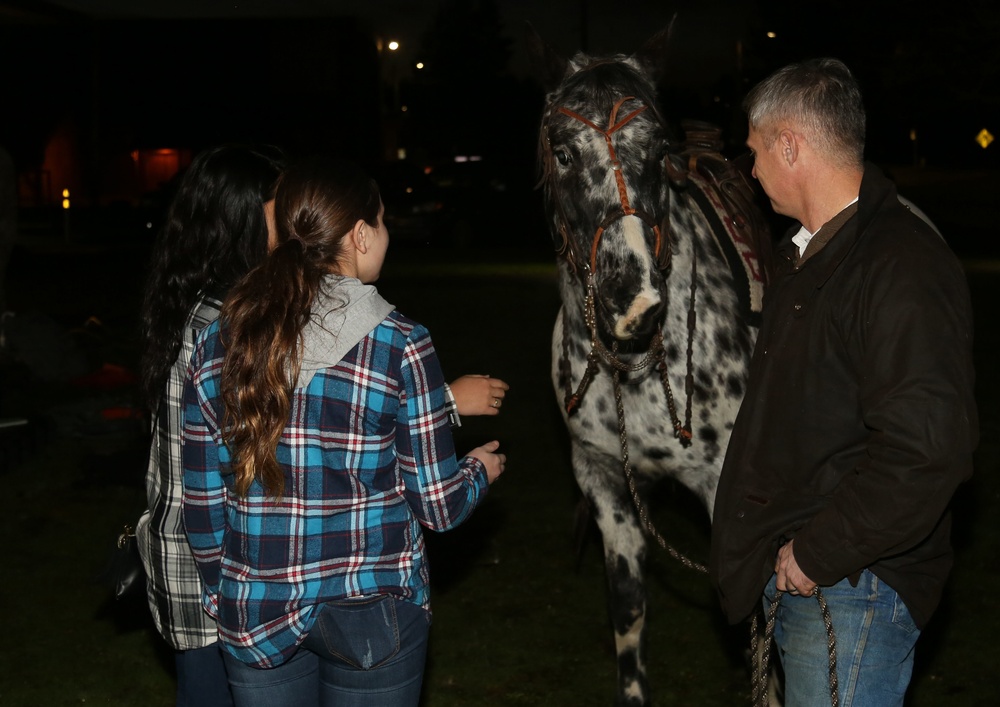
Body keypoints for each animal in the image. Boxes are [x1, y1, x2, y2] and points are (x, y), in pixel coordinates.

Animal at [528, 22, 768, 707]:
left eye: (661, 151)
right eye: (562, 152)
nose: (633, 302)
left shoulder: (727, 494)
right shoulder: (605, 483)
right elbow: (629, 613)